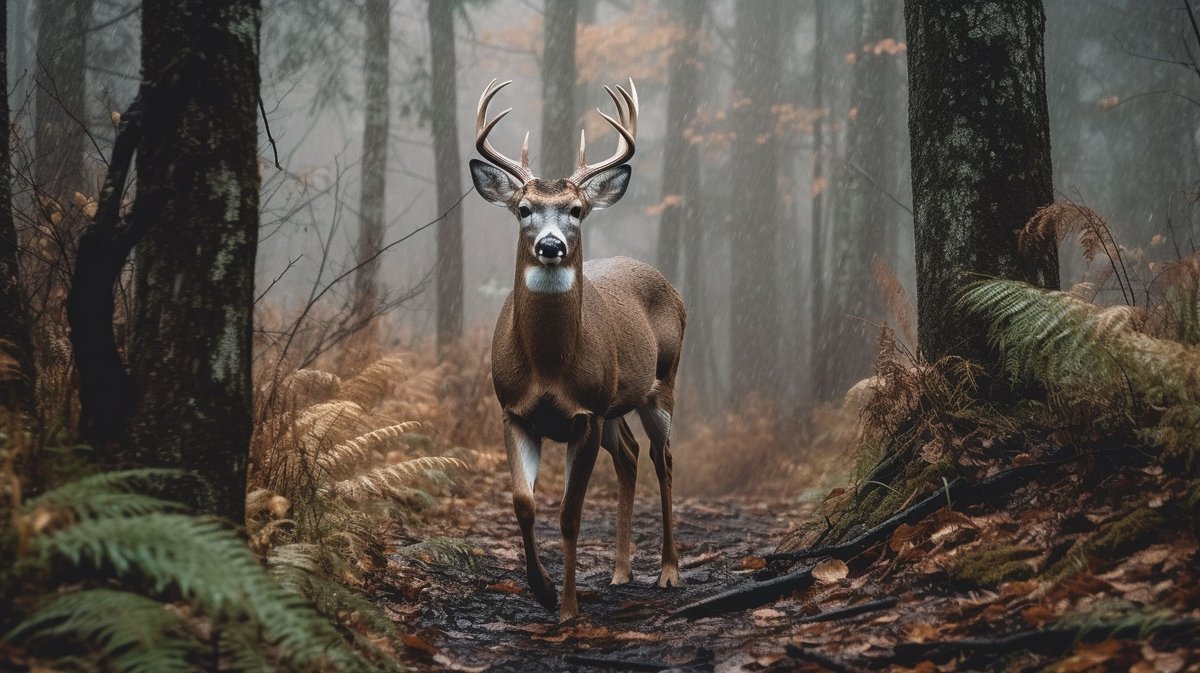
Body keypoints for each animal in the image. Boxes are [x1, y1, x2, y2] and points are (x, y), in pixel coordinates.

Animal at [469, 78, 686, 622]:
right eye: (524, 209)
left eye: (576, 210)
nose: (551, 246)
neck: (548, 368)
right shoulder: (514, 410)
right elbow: (524, 504)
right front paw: (543, 591)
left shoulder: (585, 412)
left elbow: (570, 513)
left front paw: (567, 609)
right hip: (615, 405)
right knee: (629, 454)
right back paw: (620, 570)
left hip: (663, 383)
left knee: (664, 459)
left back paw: (669, 571)